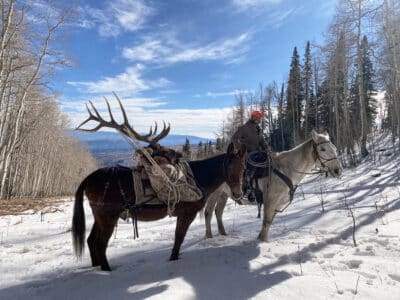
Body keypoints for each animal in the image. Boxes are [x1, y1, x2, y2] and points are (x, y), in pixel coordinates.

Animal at [71, 94, 247, 272]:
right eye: (229, 164)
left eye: (244, 166)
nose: (238, 193)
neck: (202, 181)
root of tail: (86, 180)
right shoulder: (187, 212)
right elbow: (178, 241)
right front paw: (173, 260)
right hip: (108, 213)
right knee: (100, 244)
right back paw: (107, 270)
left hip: (98, 212)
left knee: (91, 240)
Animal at [205, 129, 342, 241]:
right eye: (323, 149)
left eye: (335, 148)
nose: (338, 170)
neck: (285, 169)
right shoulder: (270, 201)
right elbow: (266, 222)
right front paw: (262, 240)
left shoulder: (278, 203)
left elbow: (269, 222)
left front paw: (261, 238)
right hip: (214, 194)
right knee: (208, 212)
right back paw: (209, 237)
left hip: (223, 194)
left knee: (218, 212)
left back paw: (223, 234)